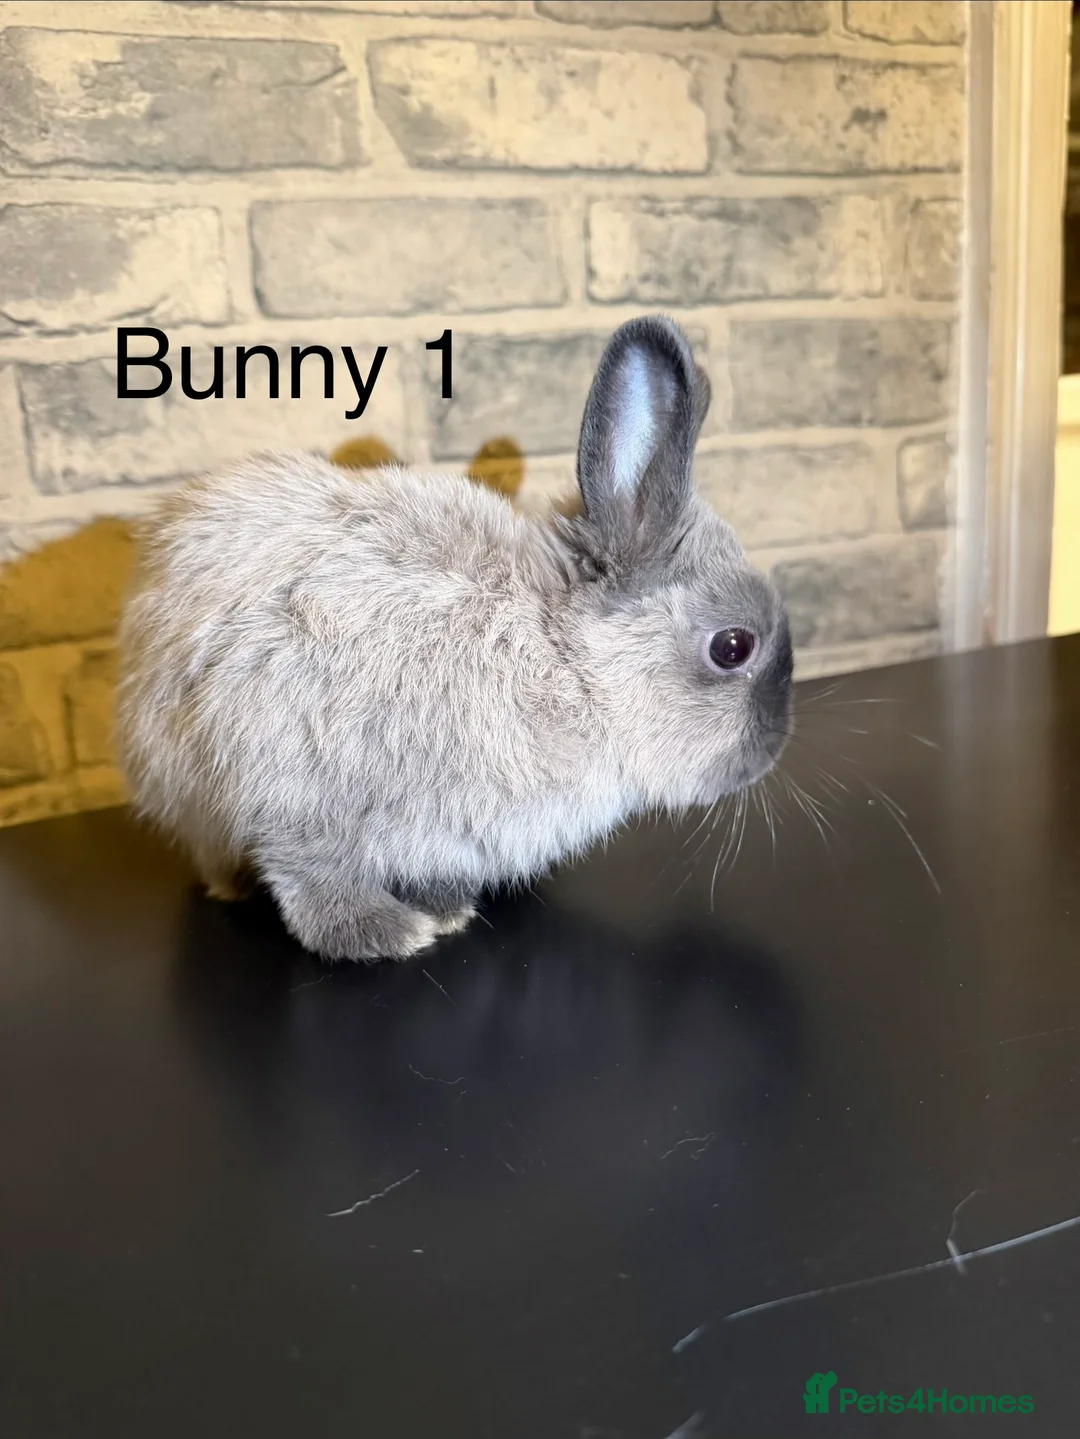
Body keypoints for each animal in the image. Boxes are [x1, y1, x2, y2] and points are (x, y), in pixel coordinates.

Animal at [116, 316, 794, 963]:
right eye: (733, 647)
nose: (772, 749)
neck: (563, 664)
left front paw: (446, 909)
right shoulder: (292, 782)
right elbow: (312, 878)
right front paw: (383, 935)